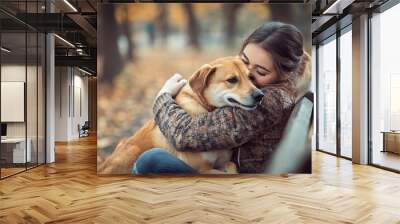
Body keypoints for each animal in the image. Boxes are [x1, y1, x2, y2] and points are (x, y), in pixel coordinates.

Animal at [98, 56, 264, 175]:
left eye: (251, 77)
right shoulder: (201, 169)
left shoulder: (224, 162)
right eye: (232, 80)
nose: (260, 95)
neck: (205, 107)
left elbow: (232, 167)